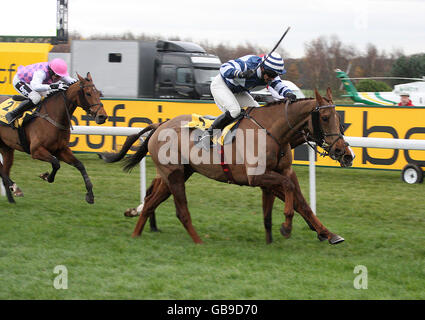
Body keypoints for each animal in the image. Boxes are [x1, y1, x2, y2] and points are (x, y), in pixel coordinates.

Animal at [0, 72, 107, 202]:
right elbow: (56, 163)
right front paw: (46, 176)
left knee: (4, 170)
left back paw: (12, 198)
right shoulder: (36, 150)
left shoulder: (61, 149)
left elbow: (80, 165)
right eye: (88, 93)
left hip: (7, 147)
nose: (102, 116)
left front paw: (90, 194)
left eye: (99, 93)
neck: (54, 116)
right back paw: (15, 188)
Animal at [102, 89, 348, 244]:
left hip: (176, 173)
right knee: (179, 210)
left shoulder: (283, 171)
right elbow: (289, 193)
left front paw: (328, 234)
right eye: (325, 117)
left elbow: (301, 203)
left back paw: (136, 234)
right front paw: (286, 226)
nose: (344, 152)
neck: (273, 131)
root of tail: (159, 125)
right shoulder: (257, 176)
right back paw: (198, 242)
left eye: (338, 117)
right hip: (173, 175)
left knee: (152, 201)